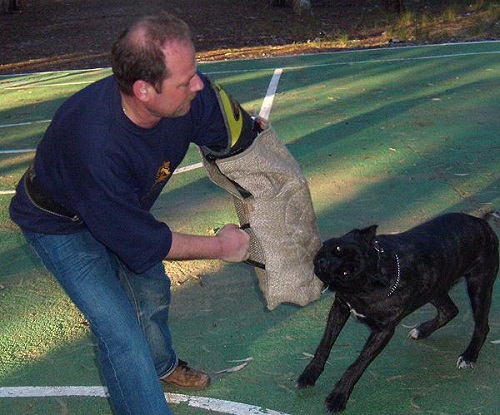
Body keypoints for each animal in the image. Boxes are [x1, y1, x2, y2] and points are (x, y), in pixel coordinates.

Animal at [298, 213, 498, 414]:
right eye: (338, 248)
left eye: (346, 273)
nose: (324, 263)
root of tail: (480, 222)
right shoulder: (340, 307)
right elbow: (324, 345)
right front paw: (310, 374)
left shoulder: (382, 332)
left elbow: (357, 364)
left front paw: (339, 396)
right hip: (432, 289)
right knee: (449, 310)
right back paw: (422, 330)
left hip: (478, 287)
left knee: (481, 326)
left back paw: (469, 355)